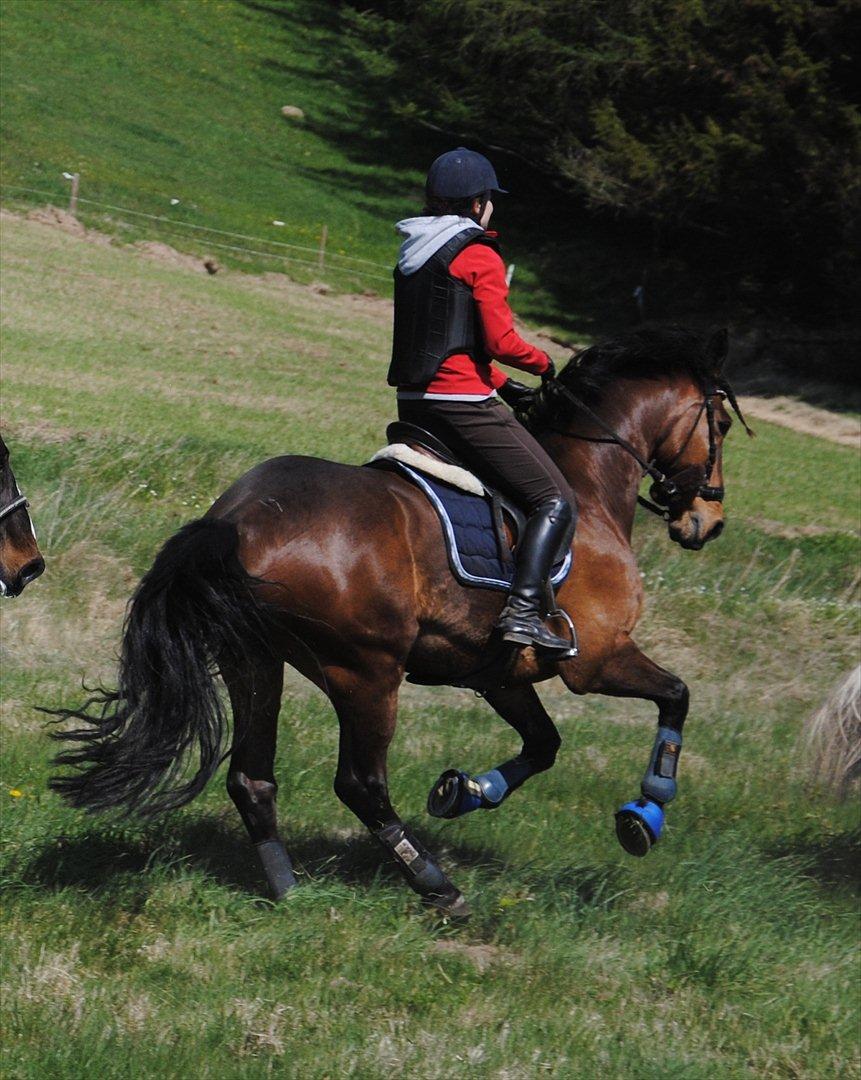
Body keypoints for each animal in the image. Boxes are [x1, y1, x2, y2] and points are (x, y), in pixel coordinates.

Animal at [48, 326, 747, 911]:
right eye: (719, 422)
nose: (707, 523)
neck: (590, 488)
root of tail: (236, 519)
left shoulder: (498, 672)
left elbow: (543, 744)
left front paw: (466, 792)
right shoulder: (598, 658)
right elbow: (676, 696)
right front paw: (646, 813)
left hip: (255, 661)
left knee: (252, 777)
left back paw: (289, 891)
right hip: (366, 673)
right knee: (360, 784)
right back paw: (437, 887)